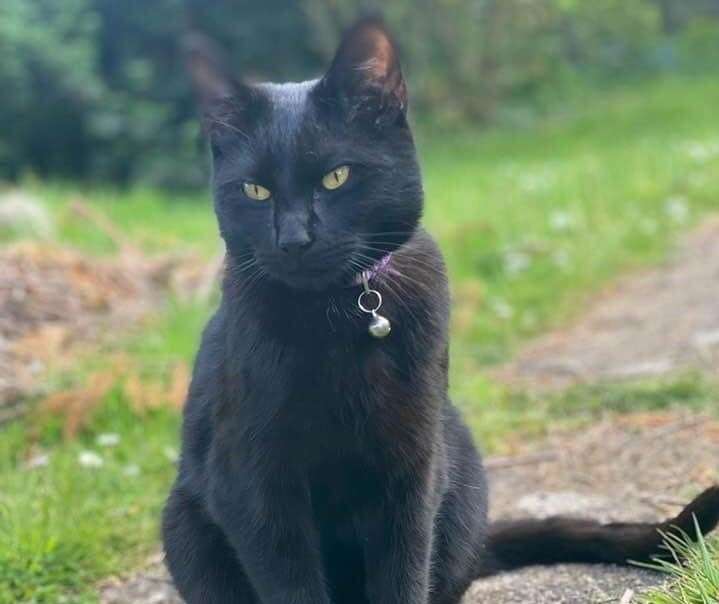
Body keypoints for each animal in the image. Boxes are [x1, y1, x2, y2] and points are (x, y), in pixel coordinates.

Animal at [163, 18, 719, 604]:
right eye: (255, 190)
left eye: (336, 177)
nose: (294, 240)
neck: (338, 312)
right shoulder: (256, 484)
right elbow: (292, 584)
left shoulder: (410, 469)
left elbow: (405, 572)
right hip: (182, 524)